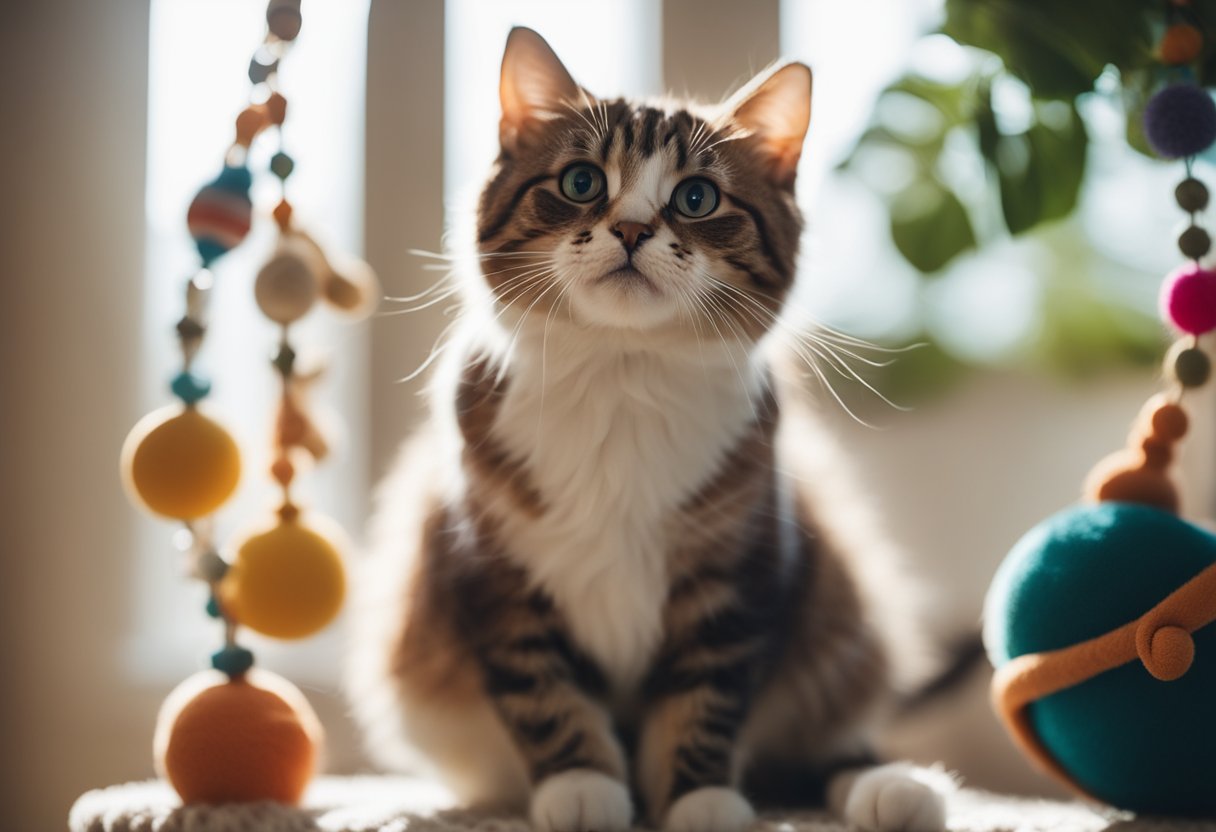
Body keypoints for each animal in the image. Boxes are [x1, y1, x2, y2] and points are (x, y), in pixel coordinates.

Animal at [347, 26, 953, 832]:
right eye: (581, 183)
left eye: (696, 198)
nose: (632, 229)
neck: (622, 376)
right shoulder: (491, 572)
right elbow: (545, 695)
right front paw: (583, 788)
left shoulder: (735, 574)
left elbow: (705, 702)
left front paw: (700, 801)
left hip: (836, 610)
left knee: (821, 754)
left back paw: (894, 789)